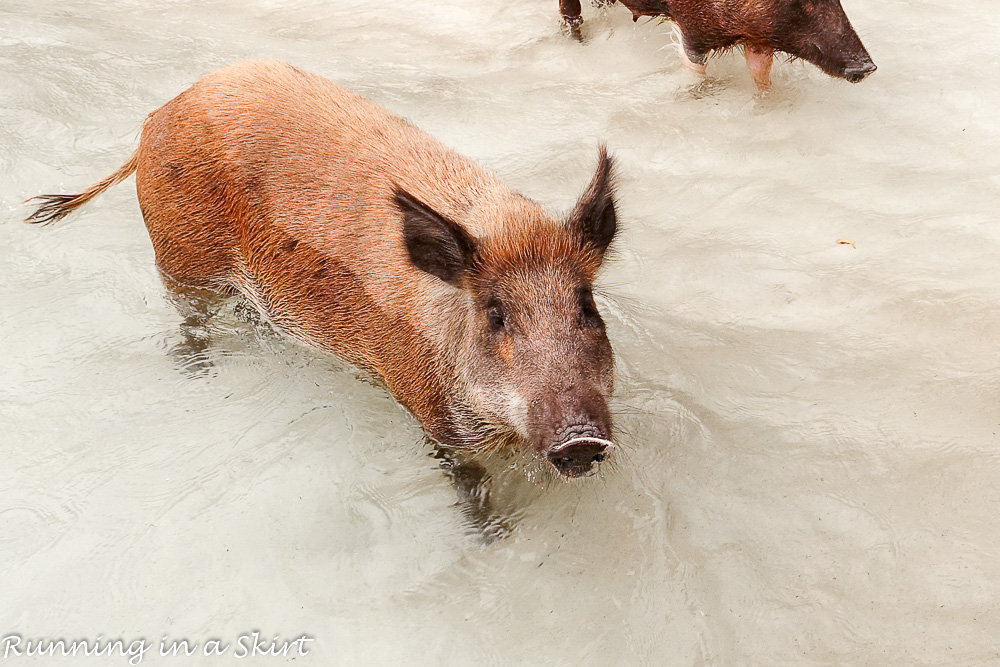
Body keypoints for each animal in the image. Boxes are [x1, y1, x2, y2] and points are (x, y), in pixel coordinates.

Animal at [23, 60, 616, 480]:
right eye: (495, 314)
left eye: (587, 305)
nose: (582, 437)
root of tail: (156, 117)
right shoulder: (425, 409)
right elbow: (463, 474)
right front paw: (490, 532)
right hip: (179, 258)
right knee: (189, 317)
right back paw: (196, 371)